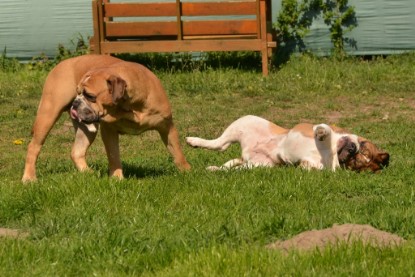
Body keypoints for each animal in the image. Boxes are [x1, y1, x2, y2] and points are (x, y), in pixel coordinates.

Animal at [186, 114, 360, 170]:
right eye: (361, 141)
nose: (353, 148)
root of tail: (246, 152)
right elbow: (324, 129)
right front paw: (323, 133)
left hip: (257, 165)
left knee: (227, 164)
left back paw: (214, 169)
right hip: (243, 122)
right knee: (219, 143)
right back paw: (193, 140)